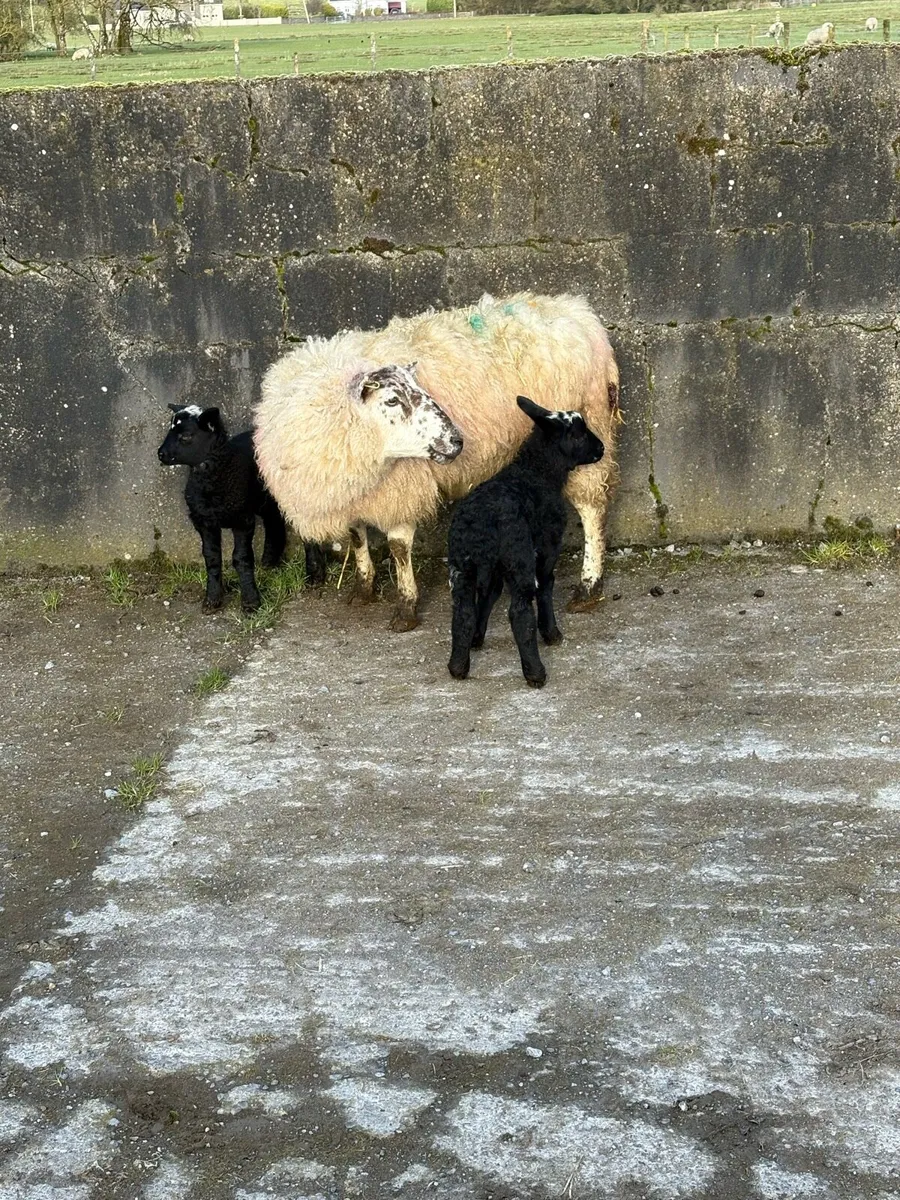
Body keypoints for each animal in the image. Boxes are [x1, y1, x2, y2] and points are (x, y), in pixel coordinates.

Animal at [158, 403, 326, 613]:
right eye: (170, 429)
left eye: (186, 436)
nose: (160, 454)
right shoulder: (204, 521)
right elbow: (211, 558)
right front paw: (212, 599)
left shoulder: (242, 519)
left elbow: (241, 558)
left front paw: (250, 602)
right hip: (264, 497)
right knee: (273, 520)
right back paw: (269, 561)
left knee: (305, 527)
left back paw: (314, 573)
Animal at [254, 292, 620, 632]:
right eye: (391, 400)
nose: (457, 441)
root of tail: (580, 314)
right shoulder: (356, 490)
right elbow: (357, 537)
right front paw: (363, 589)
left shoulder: (401, 487)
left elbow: (398, 547)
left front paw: (405, 609)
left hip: (586, 438)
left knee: (592, 510)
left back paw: (588, 588)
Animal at [447, 396, 605, 689]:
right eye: (578, 435)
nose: (601, 448)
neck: (535, 471)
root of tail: (483, 521)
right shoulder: (547, 544)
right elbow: (546, 584)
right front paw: (552, 634)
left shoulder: (494, 568)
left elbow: (489, 595)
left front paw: (477, 638)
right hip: (518, 556)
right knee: (519, 612)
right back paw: (535, 672)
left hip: (462, 564)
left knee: (463, 611)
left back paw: (458, 667)